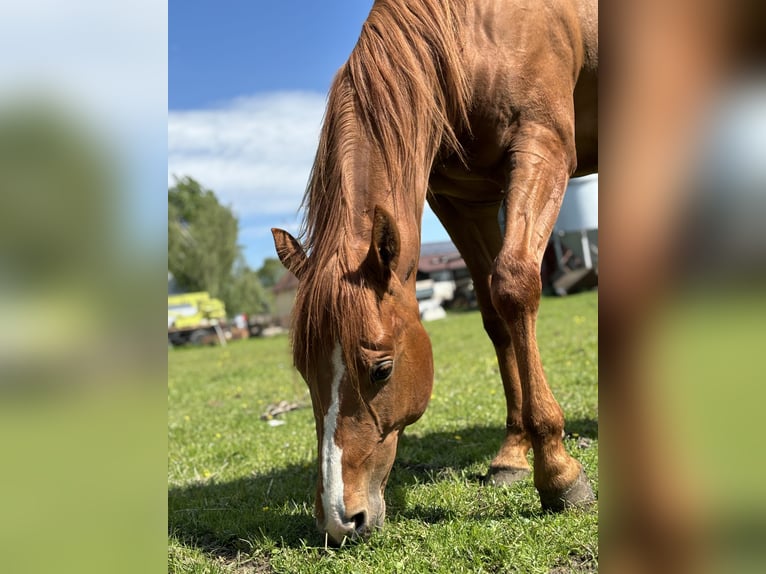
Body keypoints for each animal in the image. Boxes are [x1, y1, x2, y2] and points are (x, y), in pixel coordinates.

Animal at [274, 0, 600, 548]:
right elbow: (493, 314)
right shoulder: (461, 199)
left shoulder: (545, 145)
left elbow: (514, 286)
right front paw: (513, 454)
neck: (473, 32)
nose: (339, 520)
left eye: (381, 370)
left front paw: (558, 474)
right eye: (303, 370)